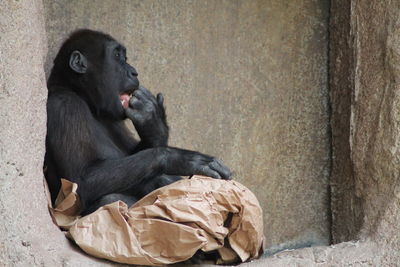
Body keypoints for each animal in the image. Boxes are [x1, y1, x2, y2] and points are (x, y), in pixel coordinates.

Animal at [45, 30, 231, 217]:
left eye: (124, 57)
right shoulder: (65, 105)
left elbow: (139, 153)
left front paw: (153, 122)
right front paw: (179, 158)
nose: (134, 72)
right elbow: (81, 180)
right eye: (117, 56)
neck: (82, 95)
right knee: (110, 199)